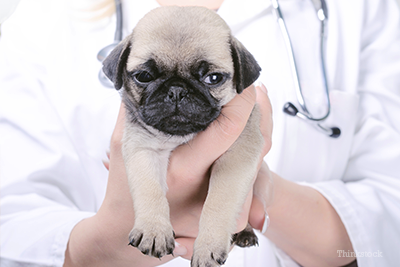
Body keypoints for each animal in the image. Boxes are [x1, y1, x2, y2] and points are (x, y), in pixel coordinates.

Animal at [103, 6, 264, 267]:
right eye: (144, 76)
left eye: (213, 78)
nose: (177, 90)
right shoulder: (142, 149)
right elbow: (149, 189)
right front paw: (154, 230)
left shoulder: (237, 157)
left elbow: (219, 202)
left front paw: (208, 246)